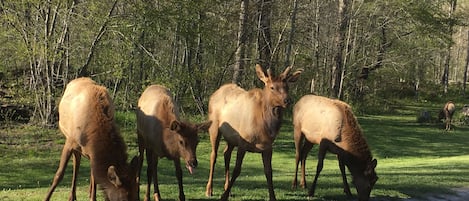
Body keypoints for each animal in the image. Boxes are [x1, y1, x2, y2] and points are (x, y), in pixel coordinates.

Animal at [206, 65, 302, 201]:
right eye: (272, 87)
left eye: (287, 86)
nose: (287, 100)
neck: (266, 126)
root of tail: (215, 93)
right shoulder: (243, 143)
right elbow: (237, 170)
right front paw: (223, 196)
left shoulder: (267, 148)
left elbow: (269, 172)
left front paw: (273, 197)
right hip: (214, 128)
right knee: (213, 155)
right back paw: (209, 190)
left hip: (231, 138)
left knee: (226, 153)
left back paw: (227, 188)